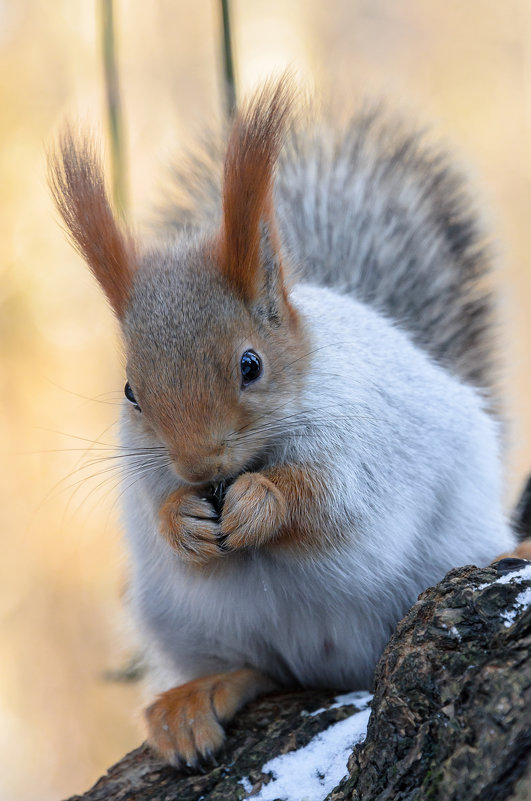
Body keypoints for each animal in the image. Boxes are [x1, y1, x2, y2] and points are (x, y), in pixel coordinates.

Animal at [48, 79, 516, 768]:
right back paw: (200, 697)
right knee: (259, 671)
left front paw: (261, 502)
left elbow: (328, 502)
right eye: (131, 391)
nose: (198, 465)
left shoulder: (360, 442)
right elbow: (166, 521)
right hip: (183, 622)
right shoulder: (147, 472)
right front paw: (182, 522)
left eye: (251, 365)